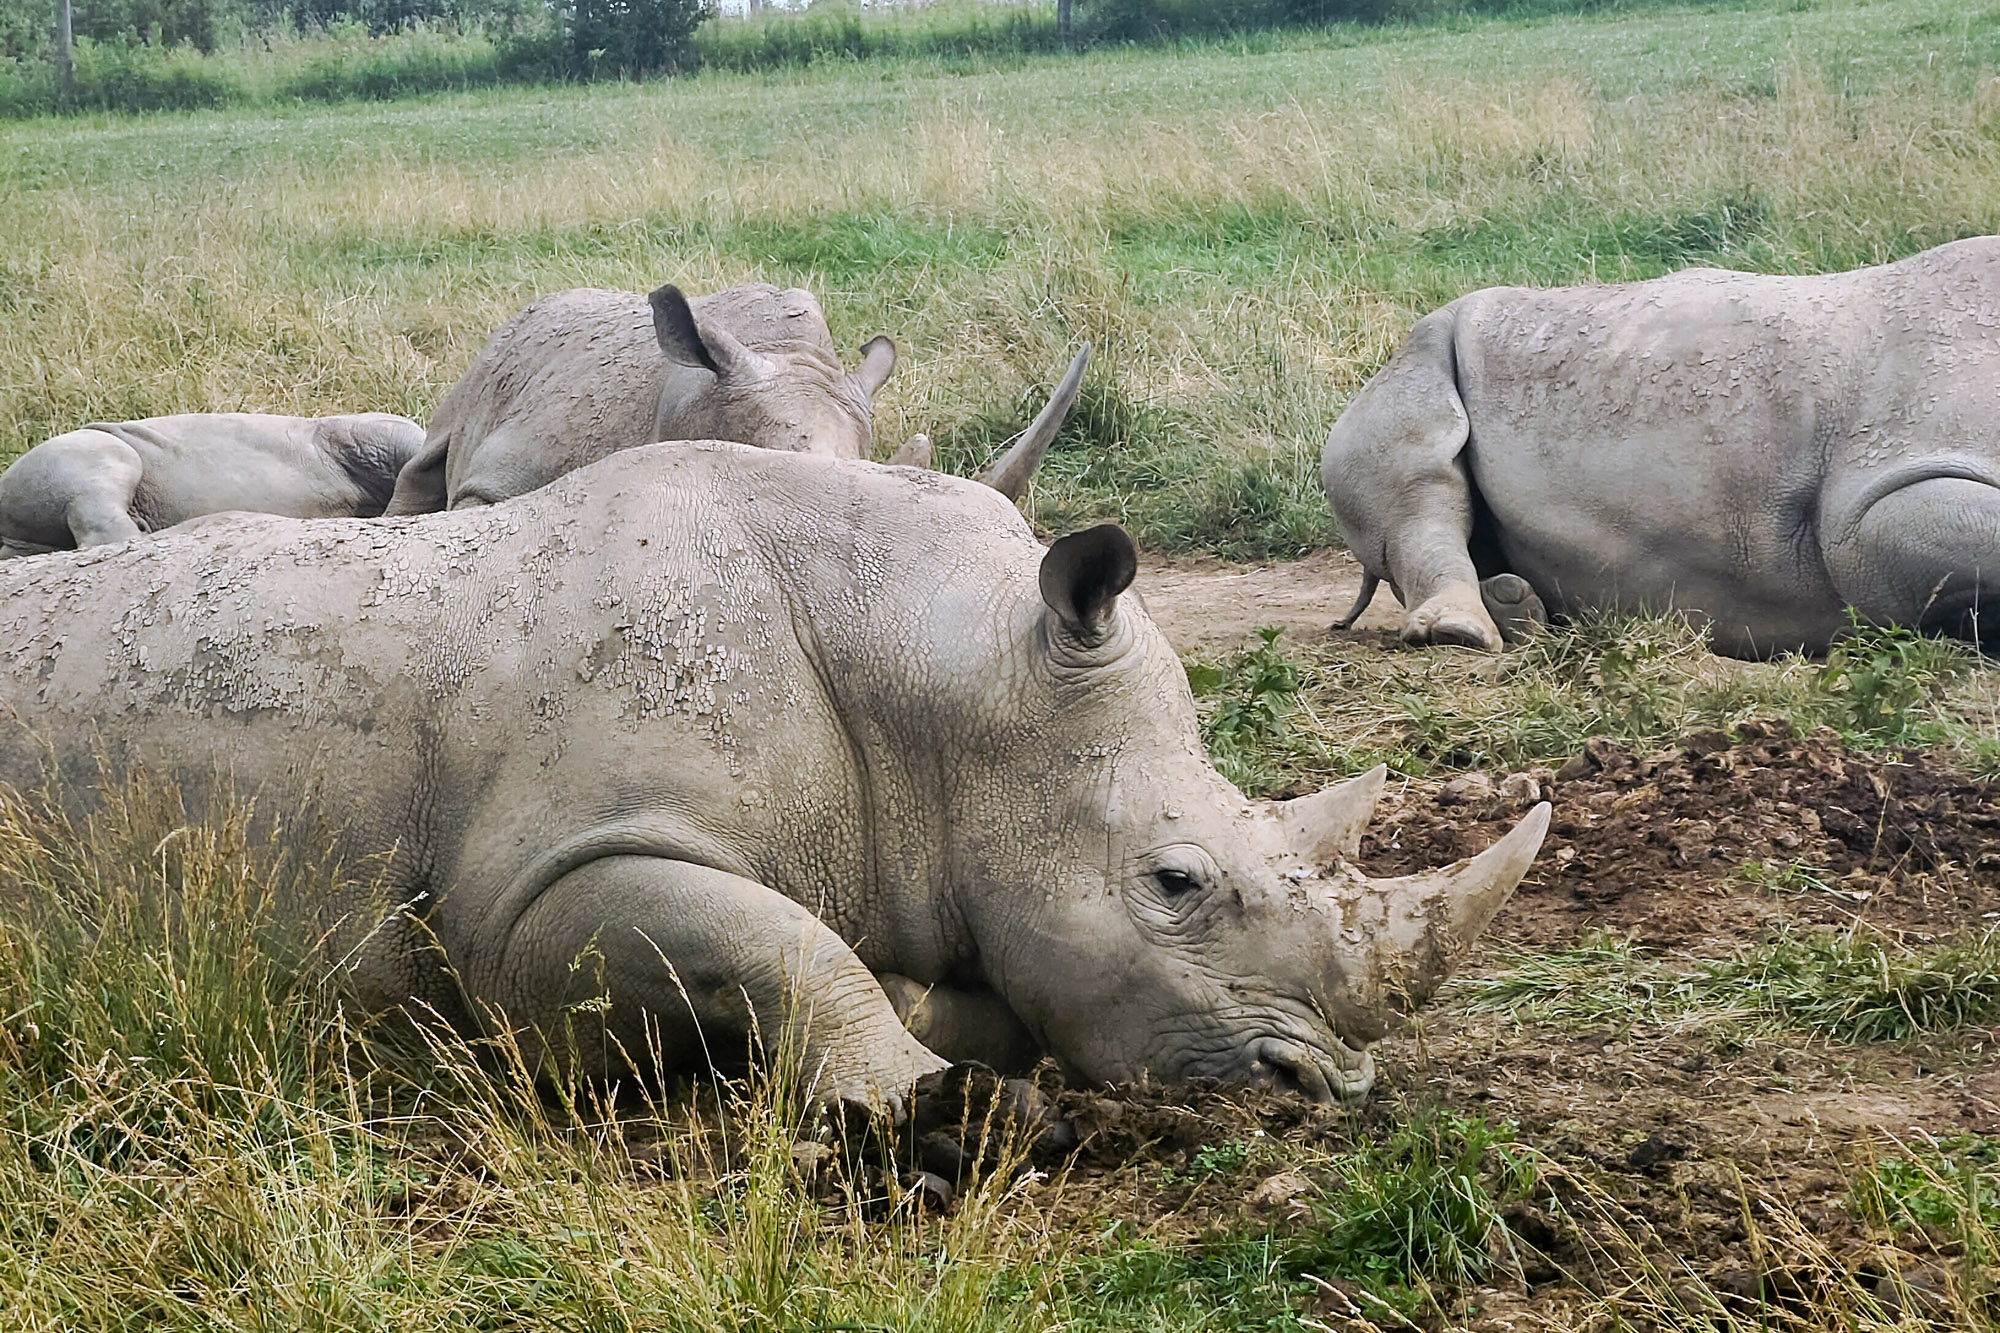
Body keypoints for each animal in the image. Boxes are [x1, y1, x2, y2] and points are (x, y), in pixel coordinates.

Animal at [0, 441, 1547, 1106]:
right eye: (1175, 881)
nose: (1325, 1089)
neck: (944, 674)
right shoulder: (541, 889)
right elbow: (784, 945)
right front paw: (928, 1106)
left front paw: (933, 1029)